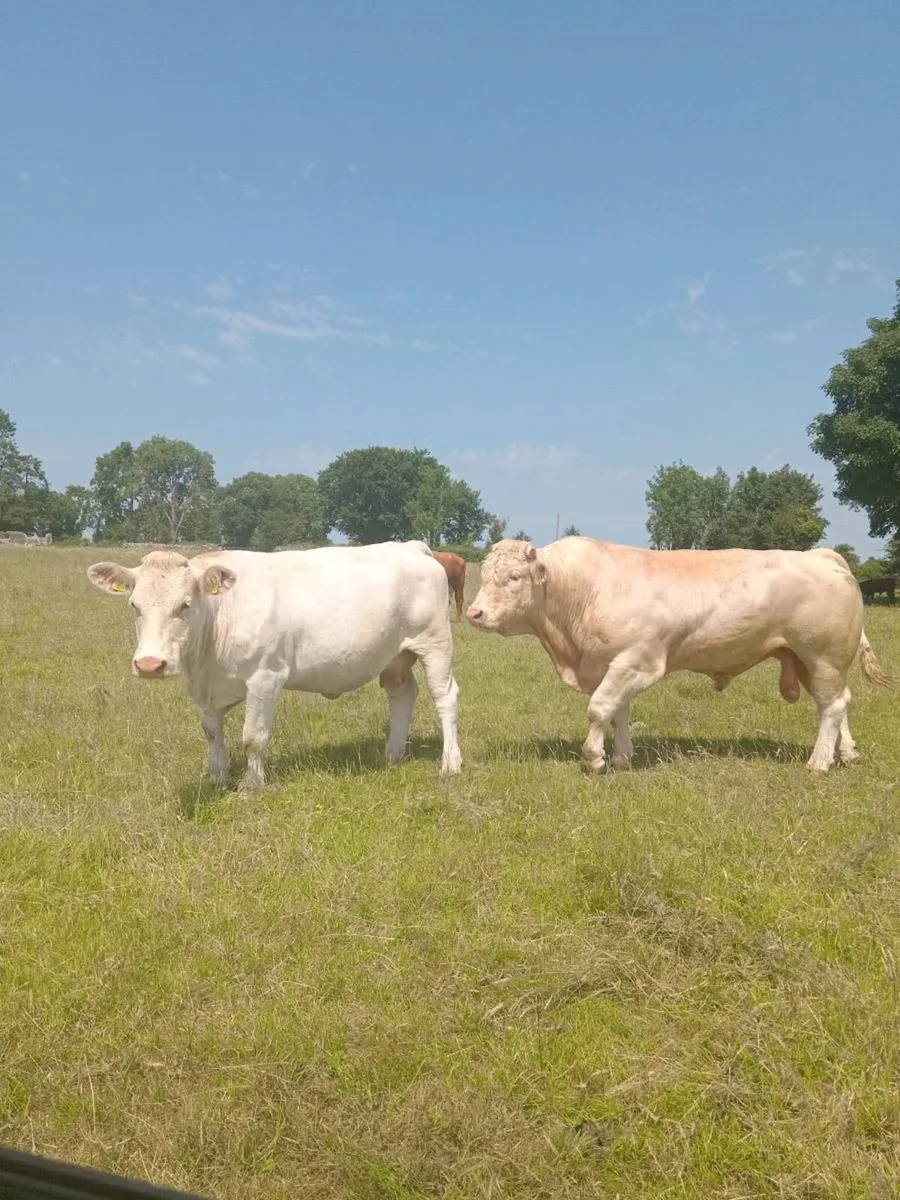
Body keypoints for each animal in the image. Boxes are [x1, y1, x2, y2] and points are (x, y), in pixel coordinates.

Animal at [86, 541, 462, 791]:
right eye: (134, 605)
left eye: (185, 605)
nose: (150, 664)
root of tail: (412, 546)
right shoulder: (207, 691)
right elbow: (212, 735)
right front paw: (217, 779)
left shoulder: (266, 677)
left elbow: (253, 737)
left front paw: (251, 788)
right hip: (396, 657)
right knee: (403, 694)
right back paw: (393, 755)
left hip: (435, 643)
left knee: (445, 697)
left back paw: (451, 763)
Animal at [467, 537, 891, 776]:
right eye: (485, 575)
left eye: (514, 578)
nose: (475, 613)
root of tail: (822, 556)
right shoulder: (614, 664)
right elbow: (620, 713)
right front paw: (621, 757)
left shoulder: (638, 661)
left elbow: (599, 709)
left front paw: (594, 759)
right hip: (805, 660)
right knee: (837, 703)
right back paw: (846, 754)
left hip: (823, 656)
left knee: (832, 707)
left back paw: (819, 763)